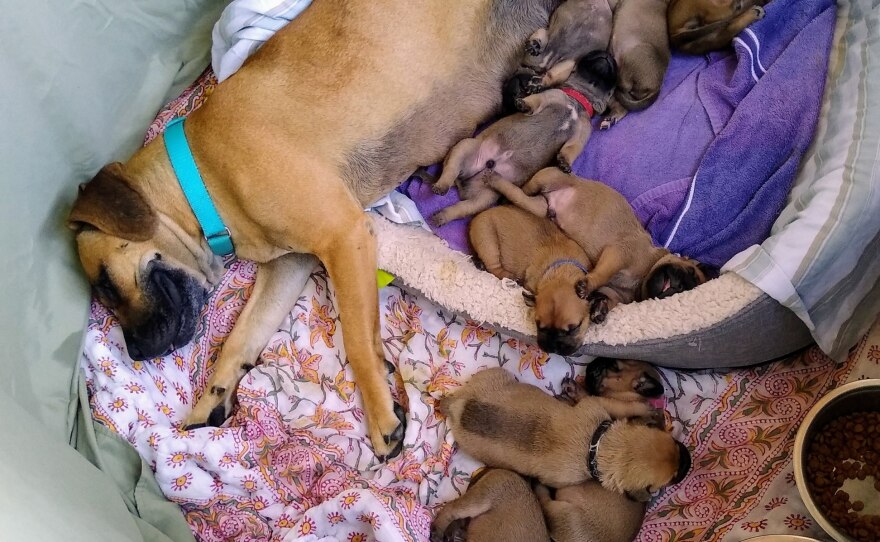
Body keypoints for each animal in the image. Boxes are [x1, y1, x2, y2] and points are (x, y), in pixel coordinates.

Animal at [67, 0, 564, 462]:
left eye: (105, 283)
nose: (137, 353)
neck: (199, 179)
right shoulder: (289, 265)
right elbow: (240, 337)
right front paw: (212, 397)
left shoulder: (344, 237)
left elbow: (359, 342)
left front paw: (381, 415)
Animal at [426, 51, 620, 227]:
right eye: (591, 55)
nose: (607, 54)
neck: (577, 101)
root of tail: (465, 180)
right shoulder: (546, 98)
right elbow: (533, 101)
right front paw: (523, 104)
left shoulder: (579, 137)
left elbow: (571, 149)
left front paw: (564, 163)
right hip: (465, 146)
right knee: (450, 170)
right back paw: (441, 185)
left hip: (485, 198)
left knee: (462, 208)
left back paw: (442, 216)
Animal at [468, 205, 592, 356]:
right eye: (538, 325)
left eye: (574, 328)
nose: (553, 349)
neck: (561, 274)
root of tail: (481, 214)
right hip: (487, 239)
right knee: (494, 267)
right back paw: (509, 276)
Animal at [488, 169, 708, 324]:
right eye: (691, 272)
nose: (679, 286)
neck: (644, 274)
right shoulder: (619, 253)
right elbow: (602, 273)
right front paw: (587, 285)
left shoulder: (614, 291)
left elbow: (607, 298)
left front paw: (599, 309)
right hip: (547, 177)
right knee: (521, 188)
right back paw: (496, 183)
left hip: (539, 207)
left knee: (522, 197)